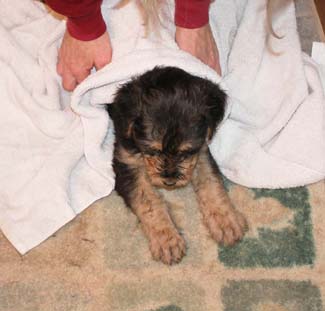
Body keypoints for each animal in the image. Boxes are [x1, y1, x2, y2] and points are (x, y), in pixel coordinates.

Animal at [106, 67, 246, 264]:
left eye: (185, 152)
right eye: (153, 150)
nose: (170, 182)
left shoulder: (200, 152)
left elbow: (211, 183)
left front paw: (226, 220)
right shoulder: (126, 160)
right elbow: (148, 201)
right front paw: (167, 240)